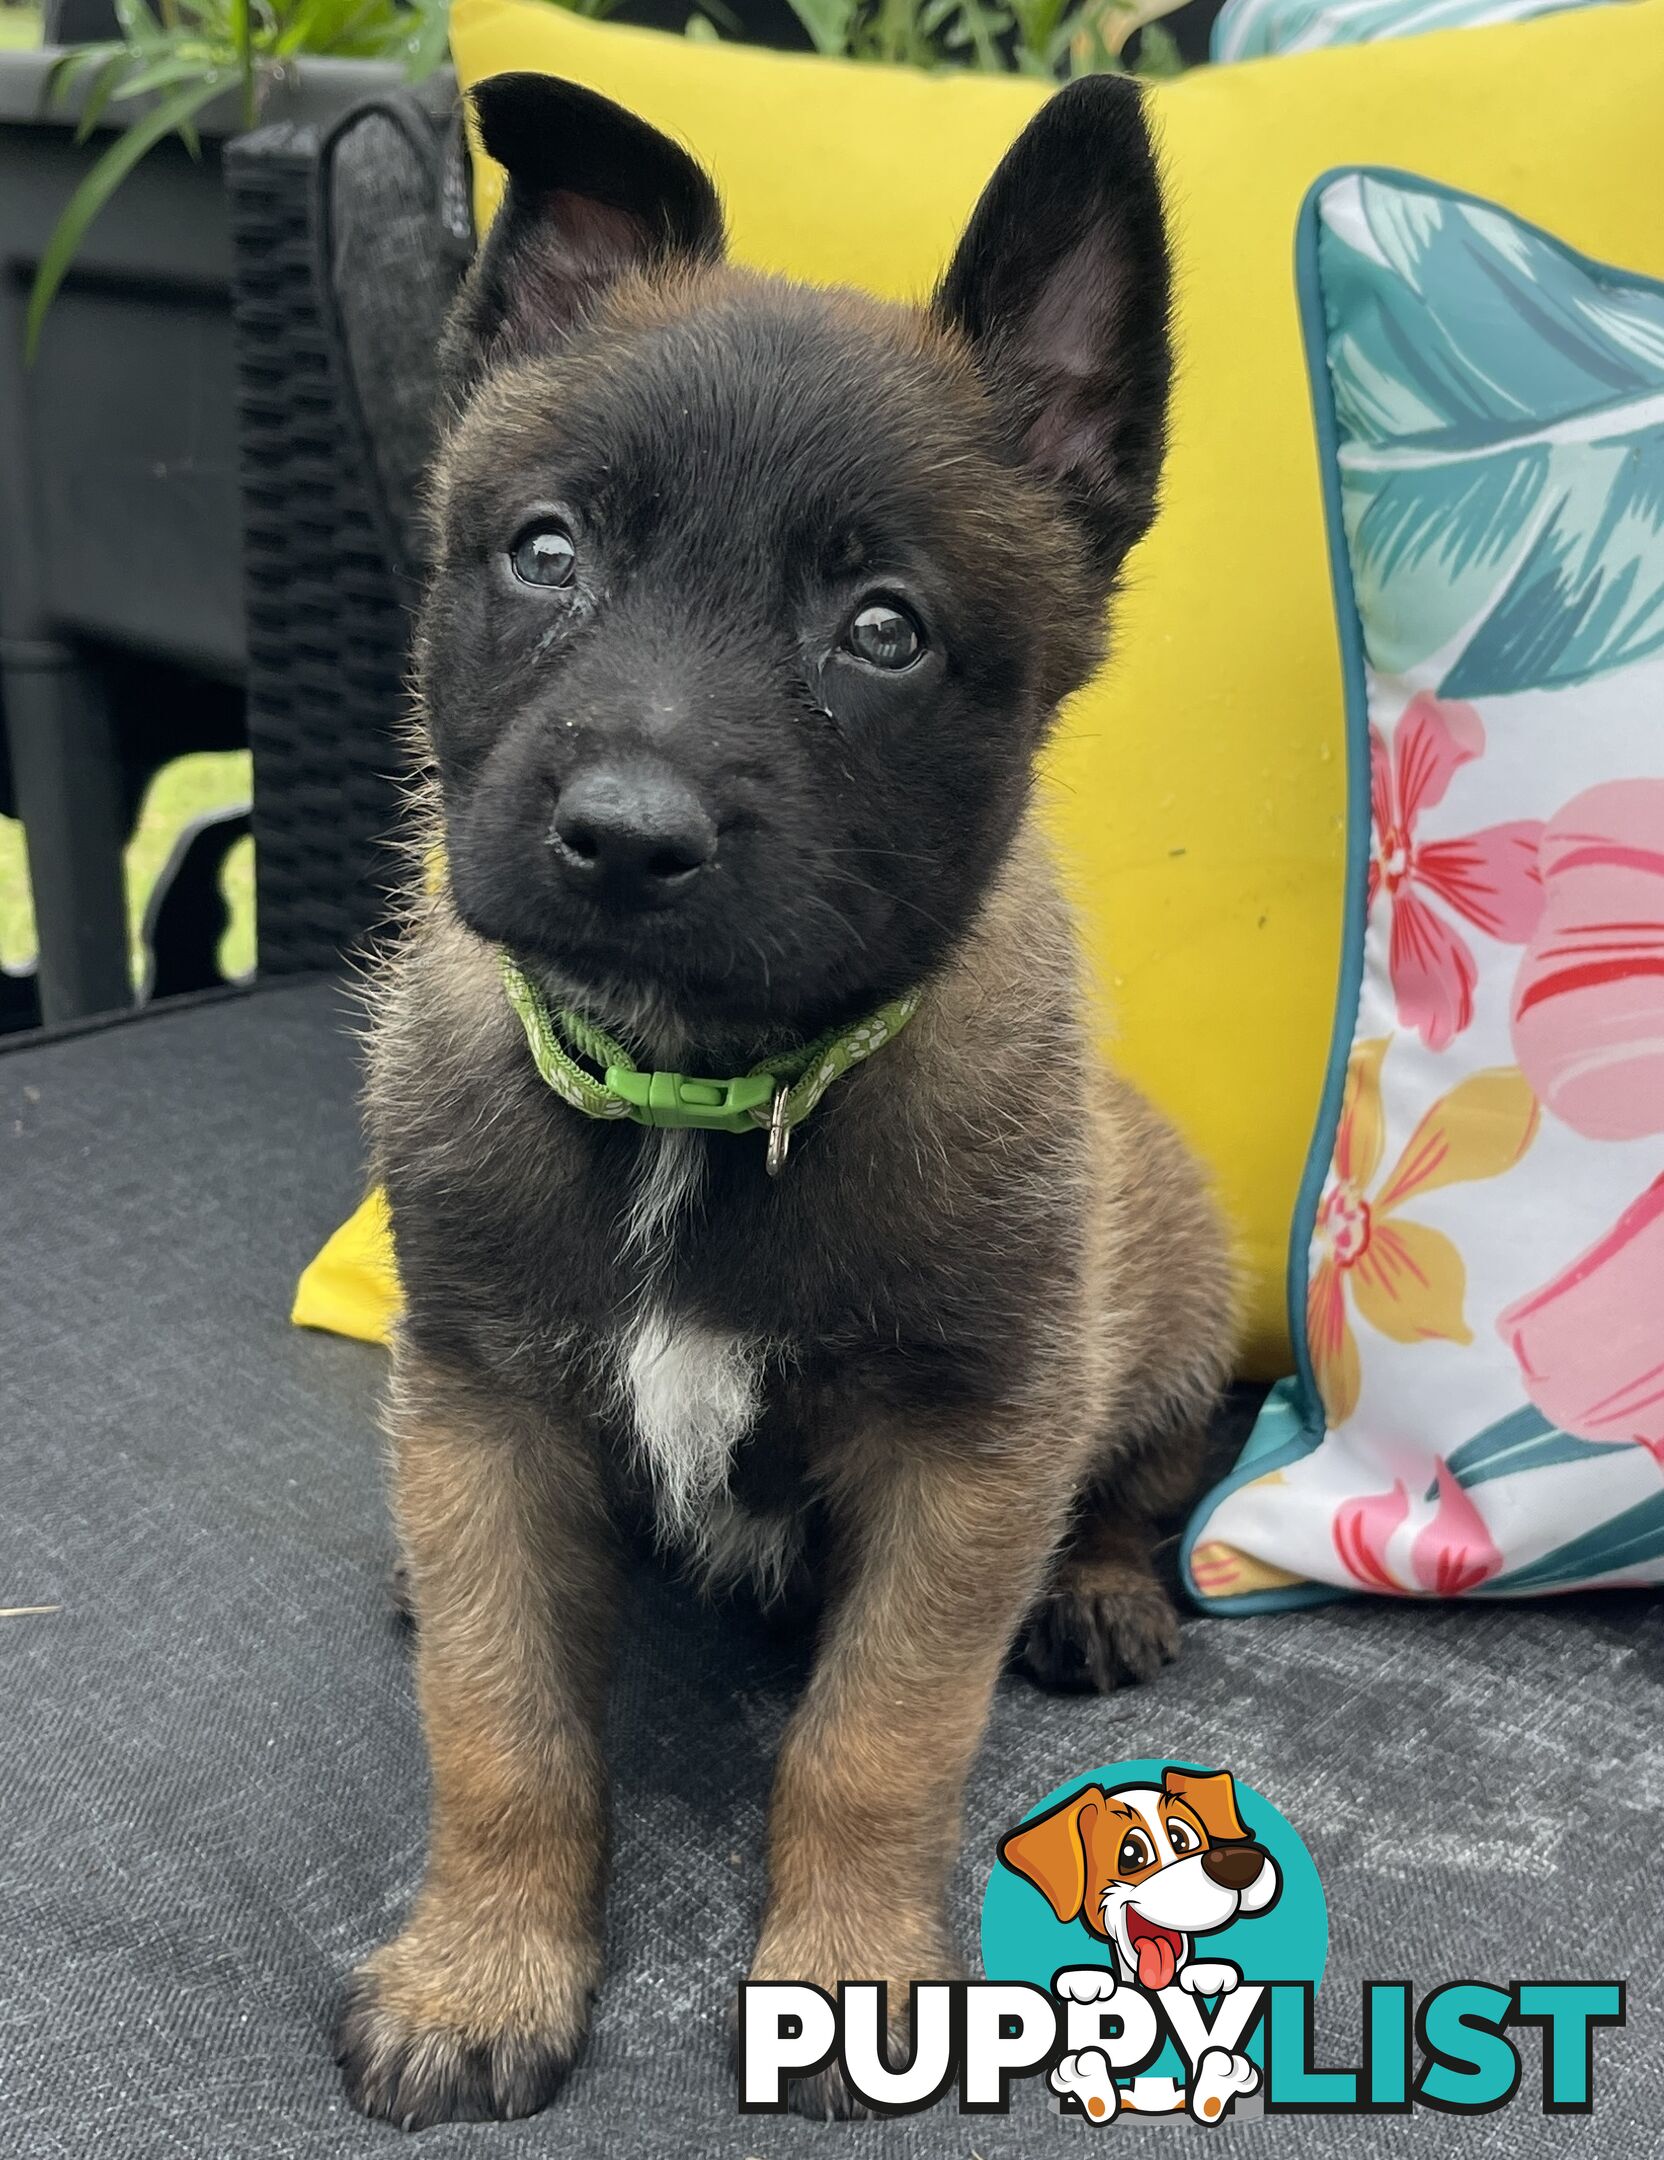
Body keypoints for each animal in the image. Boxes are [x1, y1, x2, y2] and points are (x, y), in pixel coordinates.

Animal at [341, 67, 1227, 2125]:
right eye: (547, 552)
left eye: (882, 631)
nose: (622, 840)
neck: (693, 1095)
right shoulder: (483, 1402)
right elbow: (498, 1729)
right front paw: (481, 1968)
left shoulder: (967, 1450)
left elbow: (874, 1741)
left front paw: (853, 1985)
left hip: (1181, 1319)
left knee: (1149, 1483)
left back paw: (1101, 1591)